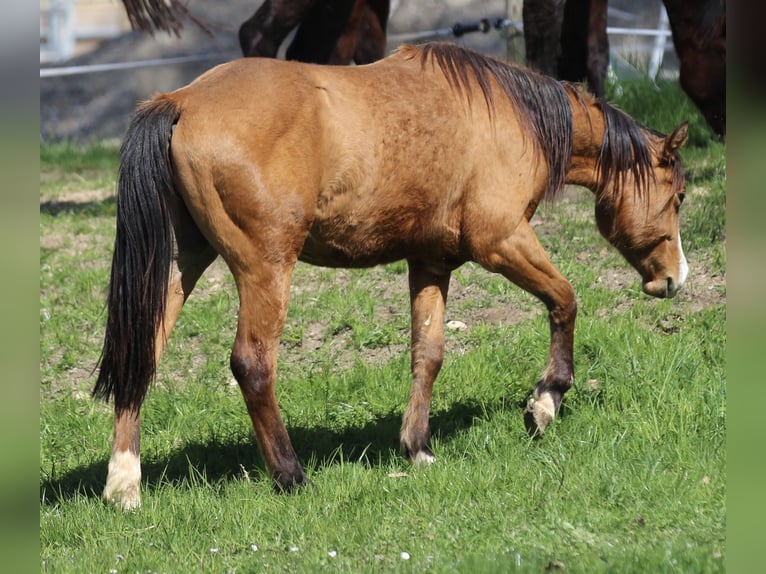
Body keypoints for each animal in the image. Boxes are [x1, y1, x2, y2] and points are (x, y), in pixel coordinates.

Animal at [93, 42, 689, 509]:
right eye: (680, 196)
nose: (675, 278)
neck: (509, 116)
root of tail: (182, 101)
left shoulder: (430, 262)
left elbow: (428, 354)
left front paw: (417, 447)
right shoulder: (501, 242)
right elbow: (565, 301)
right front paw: (544, 403)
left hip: (180, 266)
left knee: (140, 355)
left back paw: (125, 485)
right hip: (265, 268)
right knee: (253, 365)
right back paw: (291, 475)